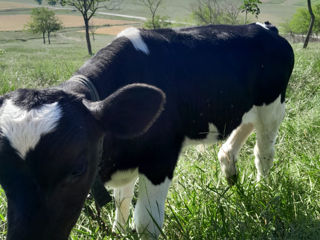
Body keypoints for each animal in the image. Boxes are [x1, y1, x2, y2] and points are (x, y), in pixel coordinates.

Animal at [0, 22, 294, 240]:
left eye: (77, 169)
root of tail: (265, 27)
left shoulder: (159, 159)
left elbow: (145, 223)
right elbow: (121, 203)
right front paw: (118, 231)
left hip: (272, 107)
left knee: (264, 152)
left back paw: (263, 191)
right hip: (243, 107)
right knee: (231, 143)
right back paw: (234, 181)